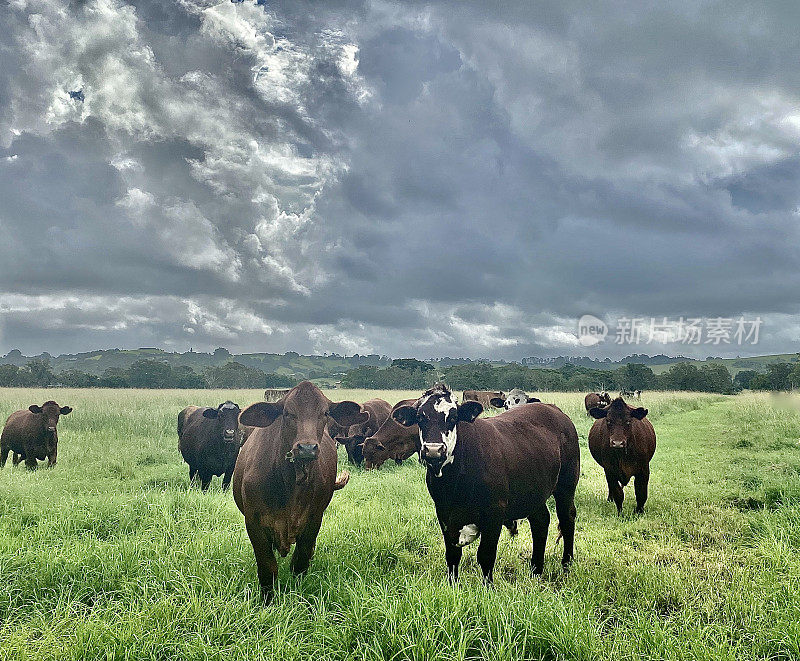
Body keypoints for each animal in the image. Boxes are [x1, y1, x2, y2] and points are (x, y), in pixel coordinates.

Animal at [233, 378, 368, 600]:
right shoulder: (253, 522)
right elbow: (267, 567)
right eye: (287, 413)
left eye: (325, 413)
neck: (290, 483)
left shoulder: (314, 520)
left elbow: (300, 563)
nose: (307, 448)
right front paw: (267, 601)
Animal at [390, 384, 580, 580]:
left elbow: (486, 555)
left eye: (453, 417)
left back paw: (566, 564)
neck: (455, 484)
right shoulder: (444, 513)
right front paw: (452, 584)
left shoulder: (494, 513)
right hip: (534, 491)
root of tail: (554, 410)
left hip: (566, 484)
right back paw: (536, 570)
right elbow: (452, 555)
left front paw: (488, 585)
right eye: (420, 418)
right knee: (540, 520)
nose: (433, 450)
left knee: (567, 518)